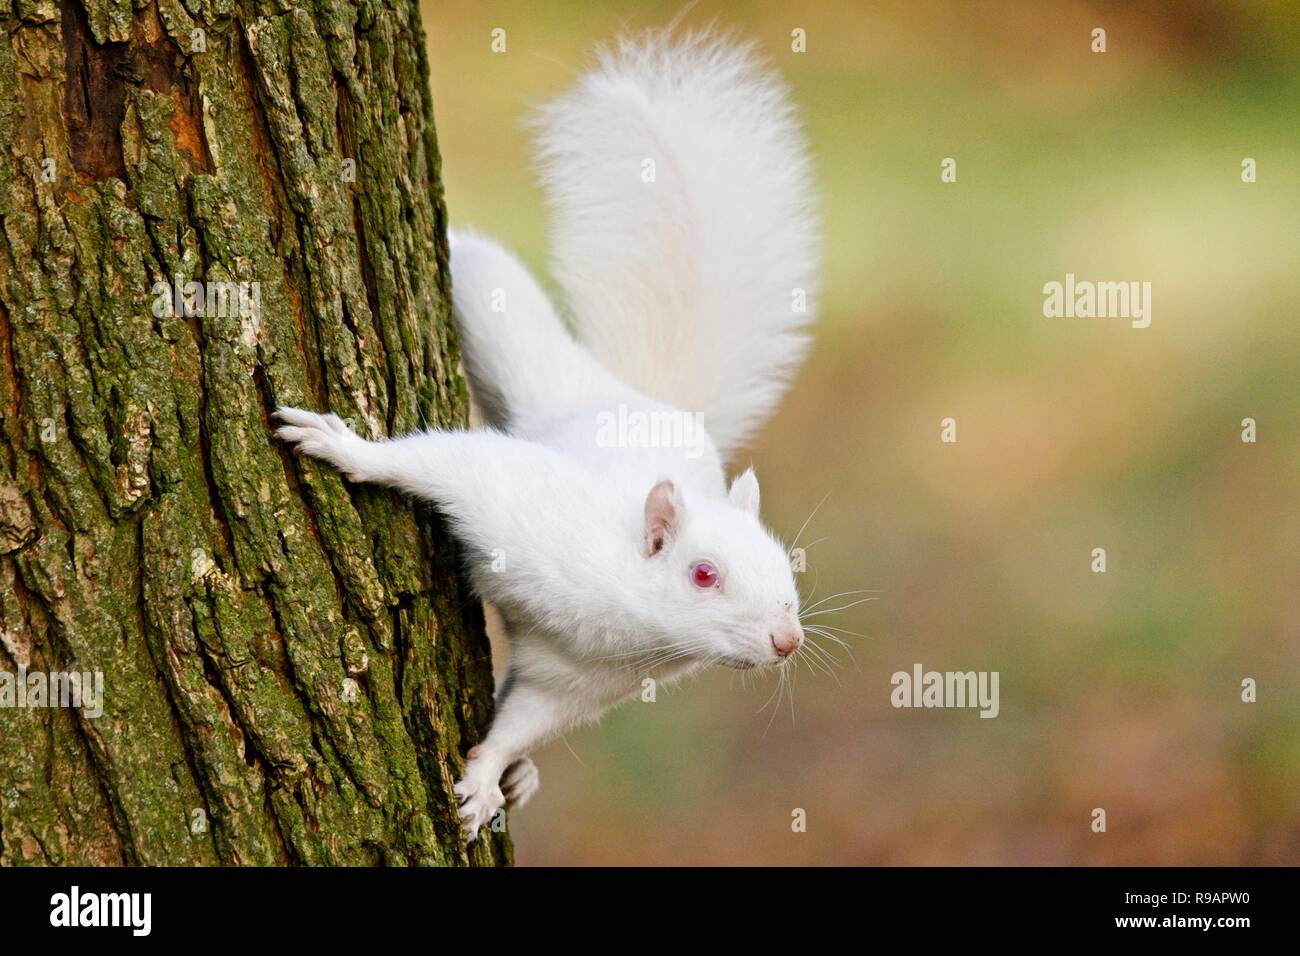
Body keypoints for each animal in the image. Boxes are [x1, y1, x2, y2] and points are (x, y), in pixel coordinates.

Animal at [278, 29, 816, 837]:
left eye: (787, 568)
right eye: (703, 574)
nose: (787, 641)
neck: (623, 615)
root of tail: (629, 395)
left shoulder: (577, 679)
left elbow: (523, 720)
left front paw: (486, 779)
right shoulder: (523, 505)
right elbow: (445, 462)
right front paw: (347, 449)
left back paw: (524, 777)